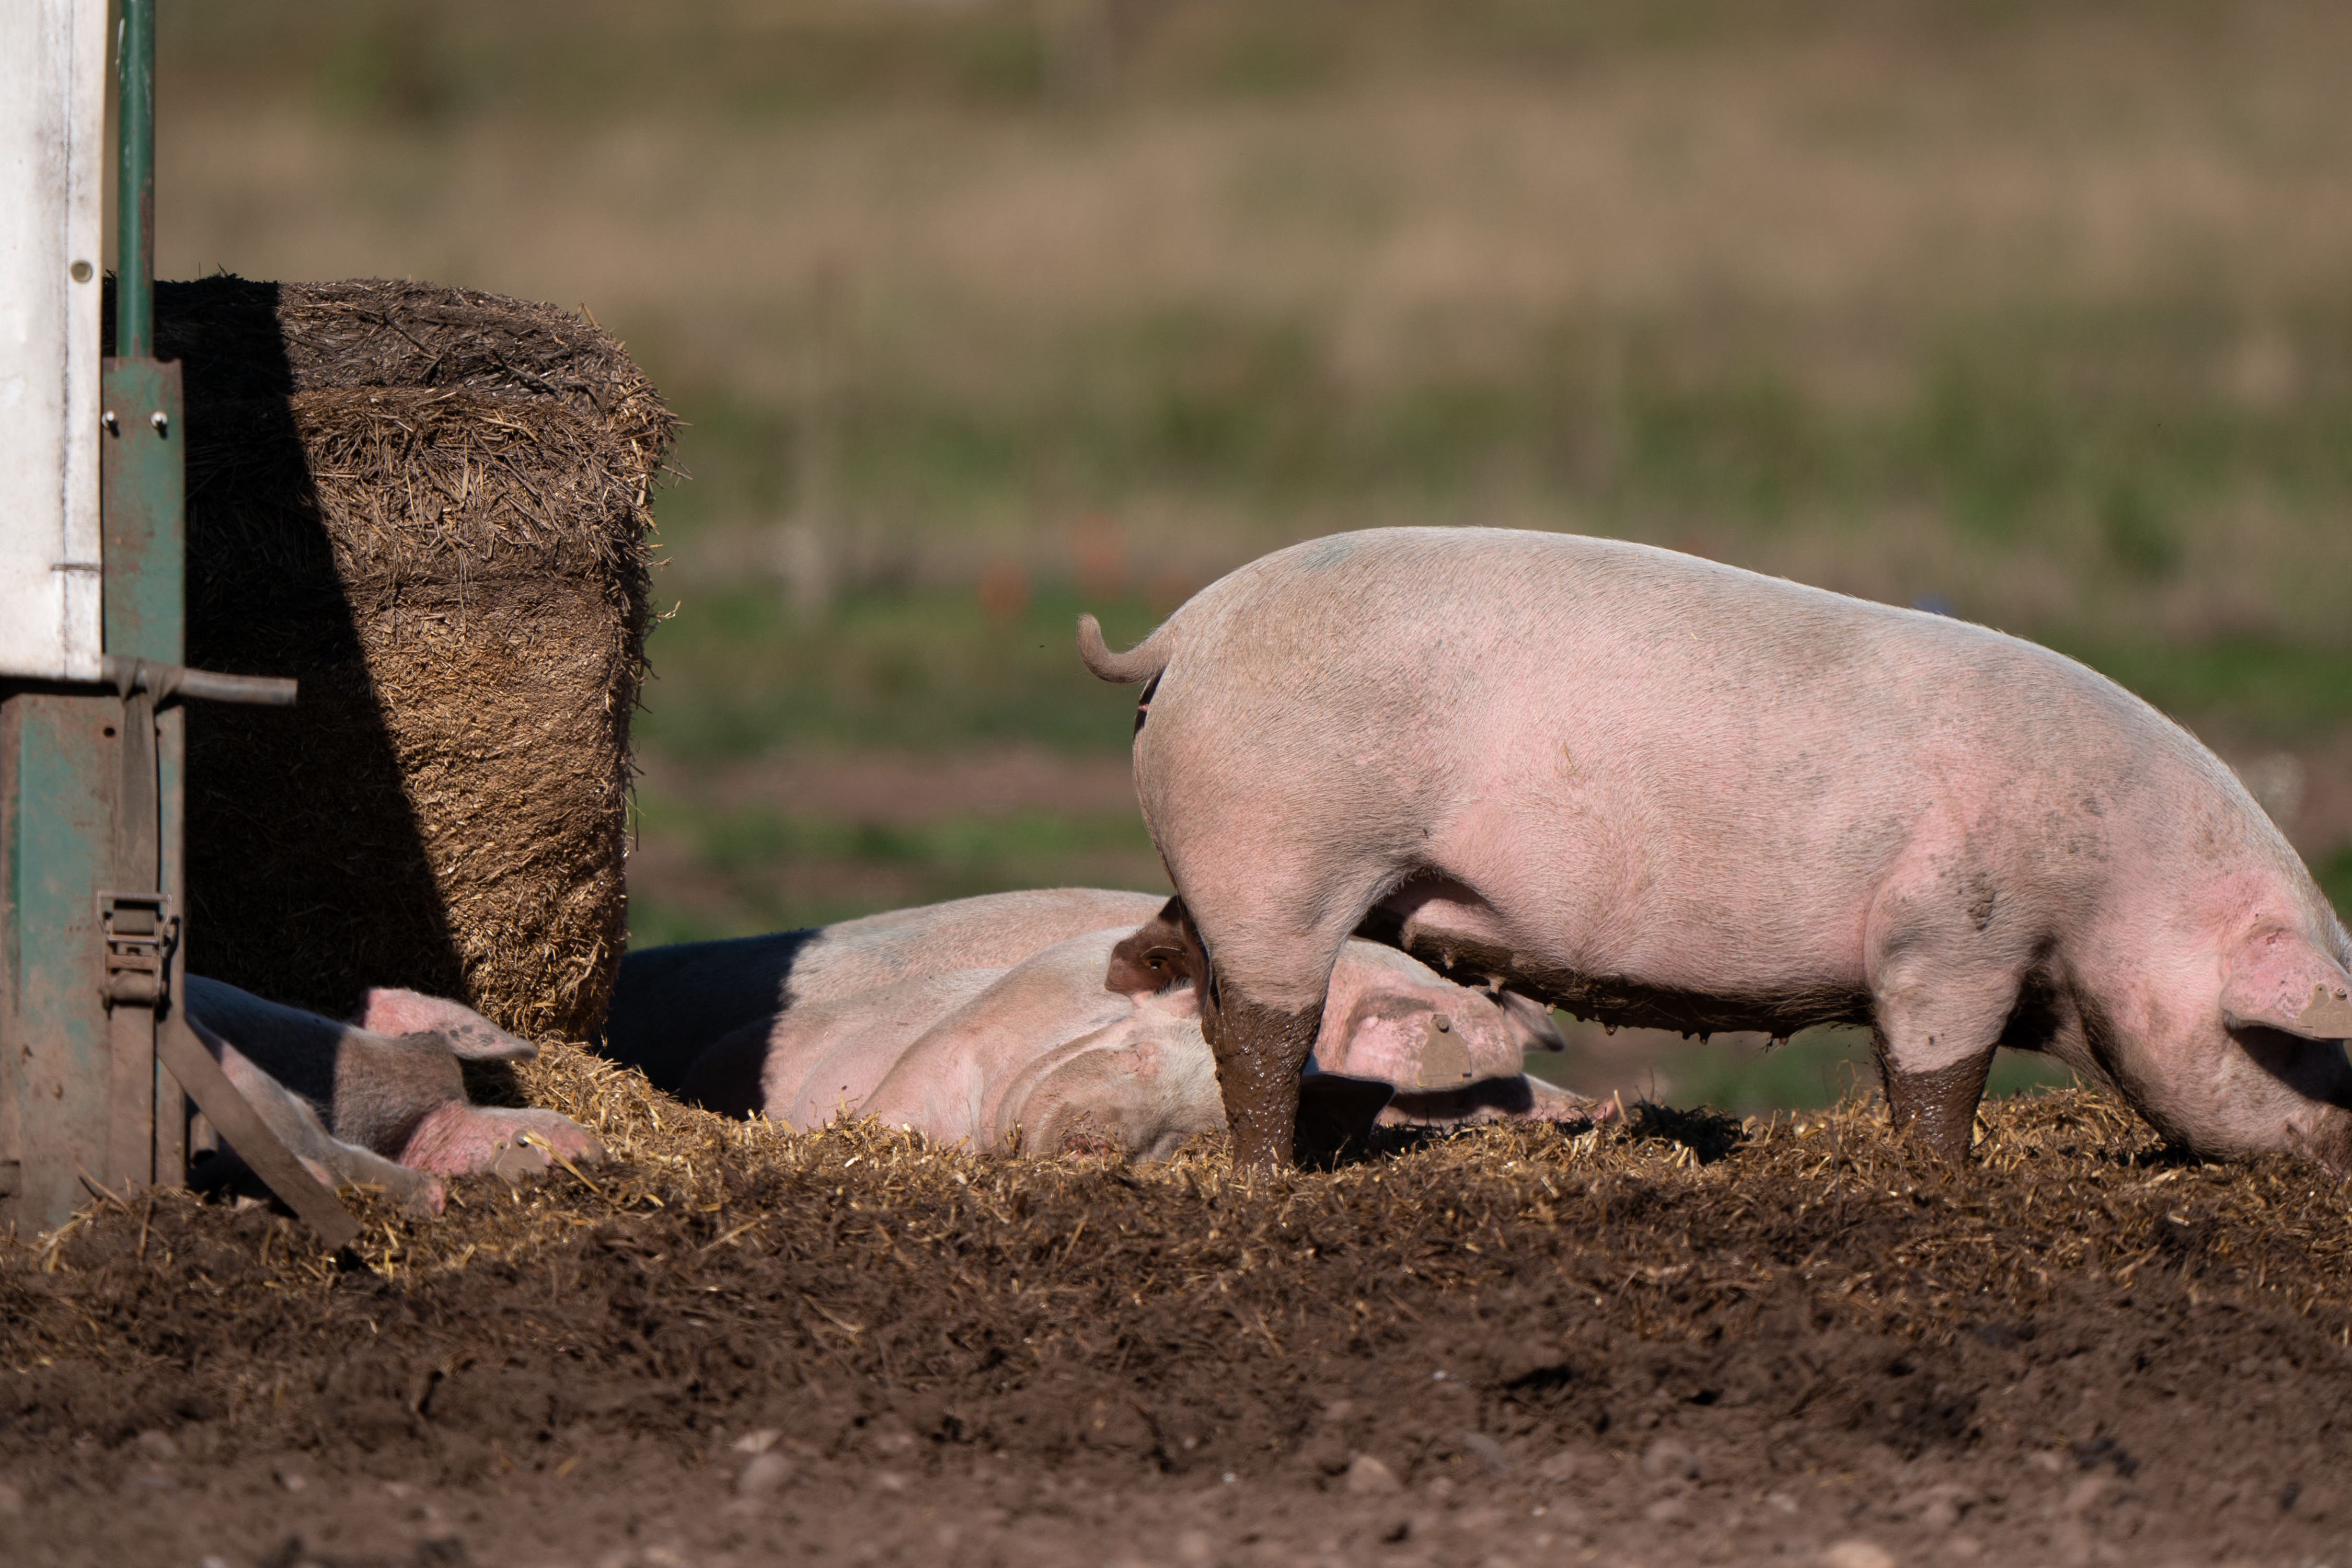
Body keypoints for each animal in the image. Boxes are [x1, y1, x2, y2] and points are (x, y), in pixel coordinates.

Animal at [1077, 526, 2352, 1166]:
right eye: (2310, 1048)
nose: (2341, 1157)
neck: (2121, 890)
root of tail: (1181, 634)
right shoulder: (1953, 930)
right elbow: (1938, 1076)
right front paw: (1948, 1182)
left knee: (1207, 998)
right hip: (1280, 856)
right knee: (1263, 1030)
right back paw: (1272, 1180)